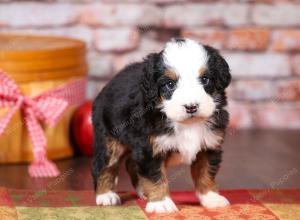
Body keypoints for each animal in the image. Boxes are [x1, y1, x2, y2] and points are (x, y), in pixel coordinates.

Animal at [92, 38, 231, 213]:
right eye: (170, 84)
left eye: (205, 79)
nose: (191, 107)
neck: (186, 124)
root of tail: (108, 84)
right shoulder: (149, 148)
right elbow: (155, 176)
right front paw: (161, 203)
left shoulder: (209, 145)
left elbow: (205, 172)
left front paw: (211, 198)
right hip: (110, 139)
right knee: (103, 165)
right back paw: (105, 195)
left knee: (131, 164)